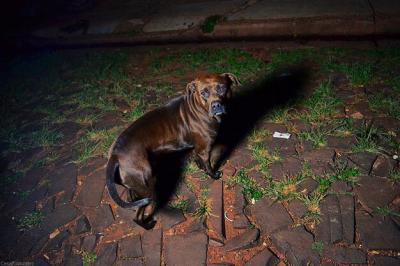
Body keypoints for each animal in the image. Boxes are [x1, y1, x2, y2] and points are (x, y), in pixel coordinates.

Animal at [104, 72, 239, 229]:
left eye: (222, 88)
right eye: (203, 92)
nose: (216, 105)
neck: (198, 107)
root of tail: (115, 155)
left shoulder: (198, 148)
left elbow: (199, 160)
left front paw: (201, 167)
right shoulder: (205, 149)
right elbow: (209, 165)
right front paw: (213, 174)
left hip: (135, 185)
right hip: (148, 186)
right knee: (138, 216)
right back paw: (148, 225)